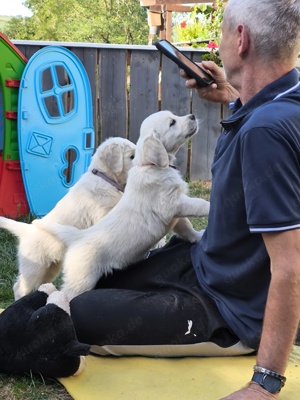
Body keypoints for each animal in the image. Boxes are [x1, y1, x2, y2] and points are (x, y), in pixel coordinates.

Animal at [0, 136, 135, 298]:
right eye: (132, 156)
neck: (104, 178)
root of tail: (27, 230)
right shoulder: (102, 213)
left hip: (51, 267)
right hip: (34, 266)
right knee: (19, 286)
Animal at [35, 110, 209, 300]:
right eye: (172, 122)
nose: (192, 116)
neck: (150, 166)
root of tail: (78, 237)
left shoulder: (175, 214)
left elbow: (186, 227)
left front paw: (197, 237)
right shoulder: (173, 204)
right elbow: (199, 205)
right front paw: (211, 207)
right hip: (81, 280)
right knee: (61, 296)